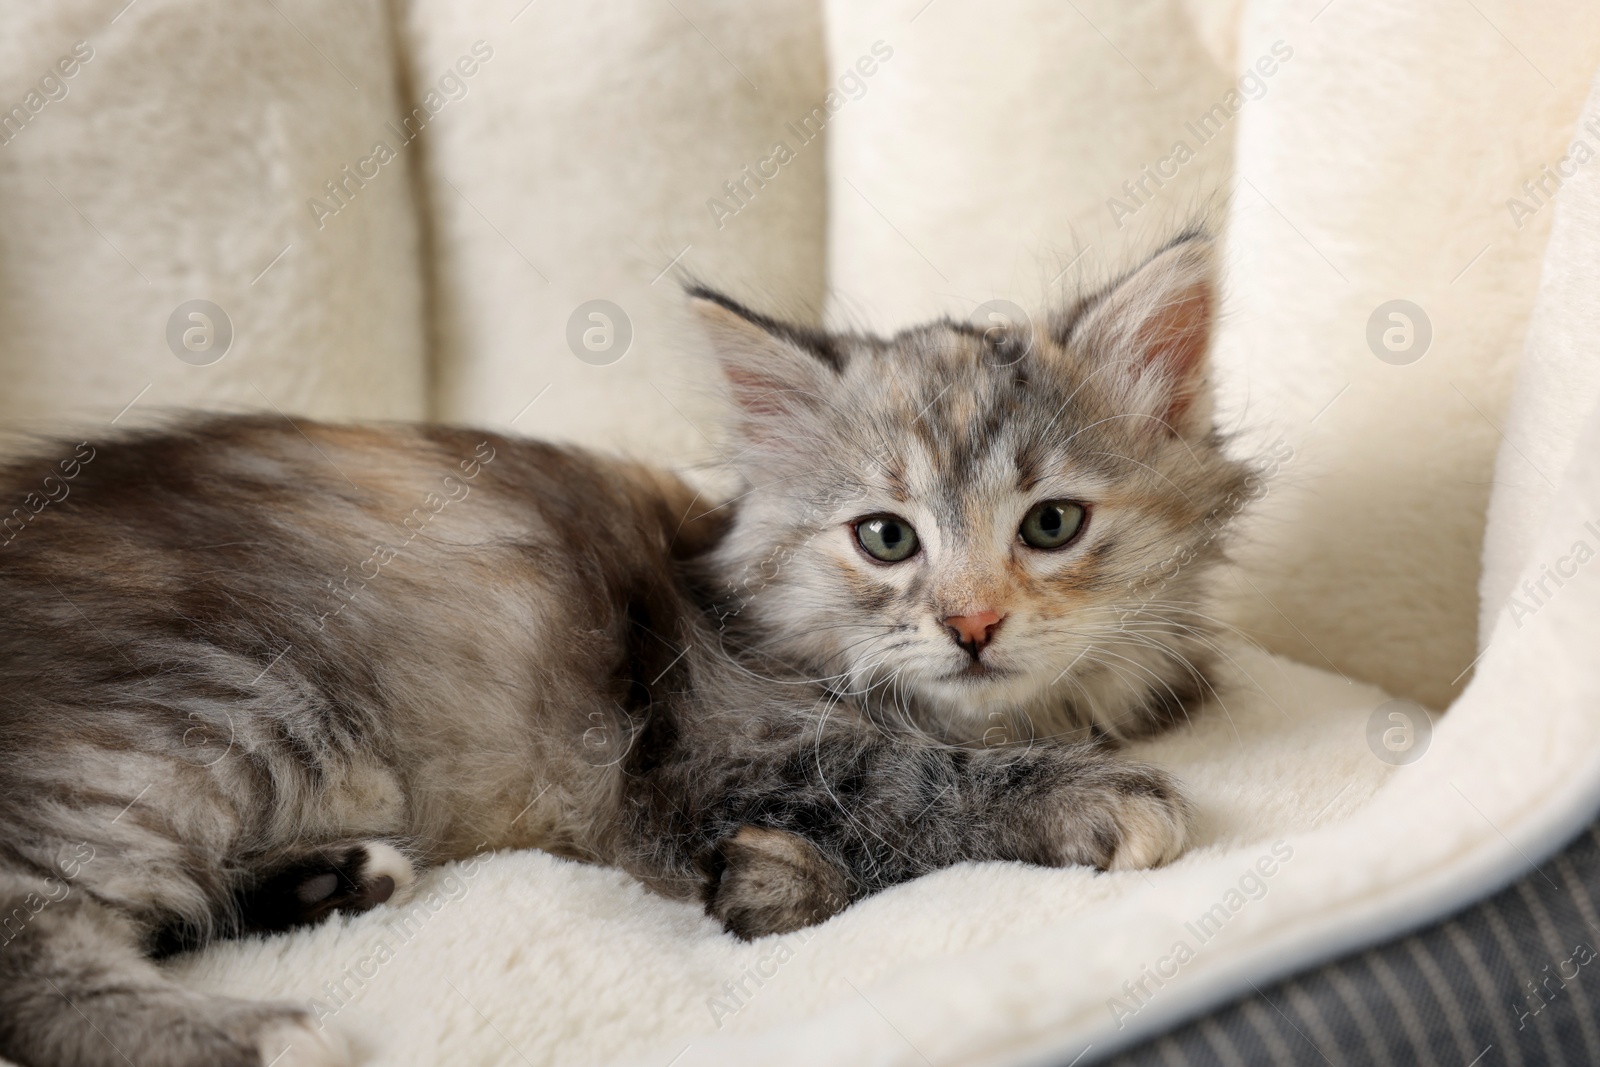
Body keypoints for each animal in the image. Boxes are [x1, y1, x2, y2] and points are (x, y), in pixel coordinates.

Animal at [0, 233, 1248, 1067]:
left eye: (1051, 524)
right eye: (887, 538)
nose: (974, 624)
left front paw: (764, 876)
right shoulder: (710, 737)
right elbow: (904, 778)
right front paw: (1088, 797)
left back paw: (334, 875)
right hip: (215, 710)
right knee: (28, 934)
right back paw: (259, 1034)